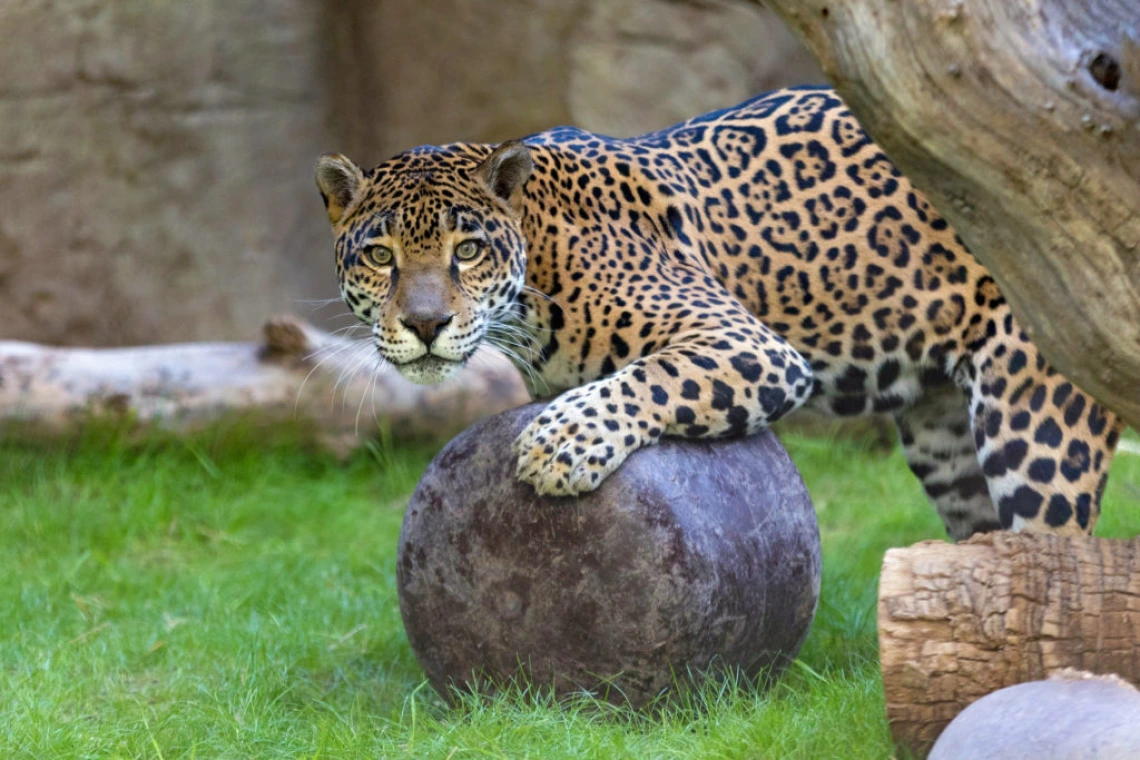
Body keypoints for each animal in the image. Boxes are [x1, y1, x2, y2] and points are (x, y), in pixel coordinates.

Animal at [315, 86, 1123, 541]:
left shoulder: (750, 344)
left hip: (1036, 419)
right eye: (381, 255)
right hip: (943, 438)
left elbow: (647, 380)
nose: (425, 326)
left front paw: (561, 446)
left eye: (469, 249)